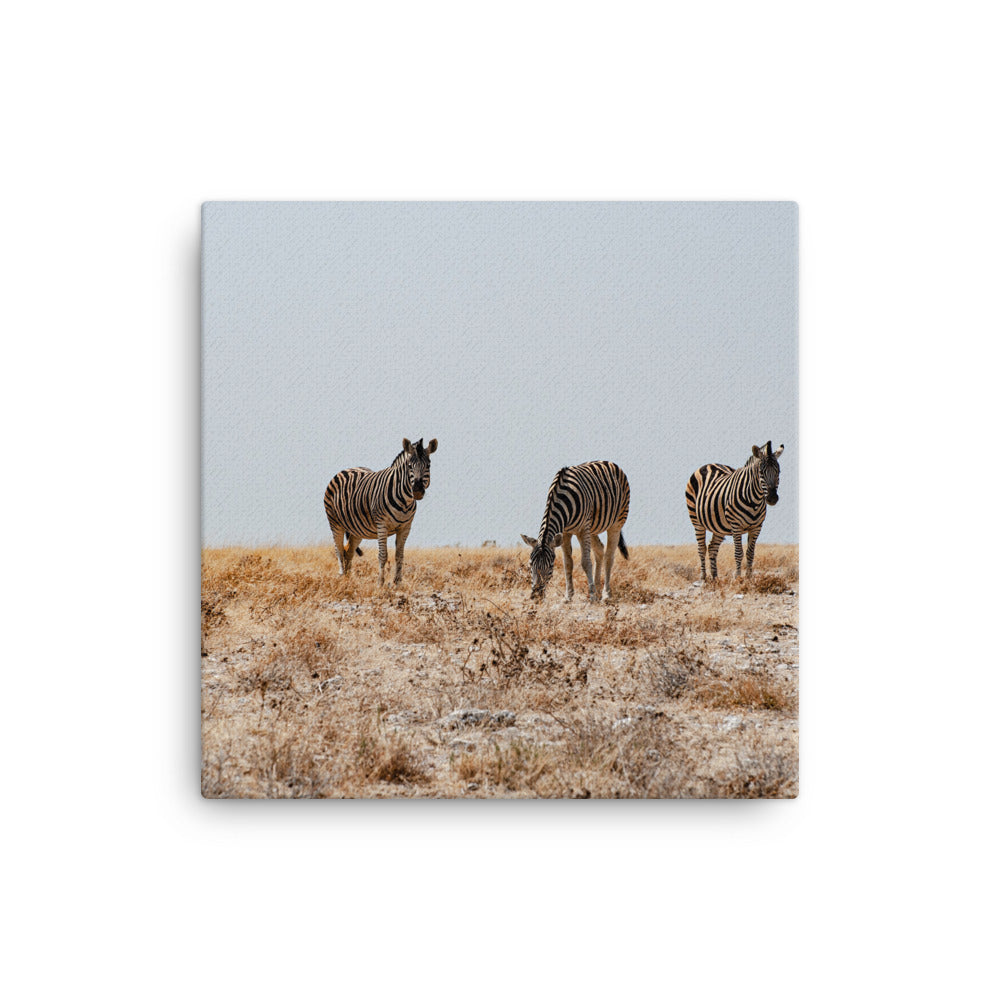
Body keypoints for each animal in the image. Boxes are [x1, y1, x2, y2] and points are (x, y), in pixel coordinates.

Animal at [324, 437, 438, 586]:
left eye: (428, 466)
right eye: (409, 466)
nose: (417, 491)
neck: (405, 501)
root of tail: (346, 469)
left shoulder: (405, 527)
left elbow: (399, 556)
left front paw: (397, 583)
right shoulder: (382, 525)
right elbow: (383, 555)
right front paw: (380, 583)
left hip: (357, 529)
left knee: (348, 552)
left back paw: (349, 580)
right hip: (335, 523)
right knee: (339, 551)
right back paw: (342, 578)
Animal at [521, 461, 630, 602]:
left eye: (550, 566)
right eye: (530, 564)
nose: (536, 597)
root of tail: (609, 462)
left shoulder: (582, 529)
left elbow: (586, 562)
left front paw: (592, 597)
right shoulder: (565, 533)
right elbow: (568, 563)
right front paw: (568, 596)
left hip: (616, 522)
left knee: (609, 557)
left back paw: (606, 595)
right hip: (592, 528)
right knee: (599, 550)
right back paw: (598, 590)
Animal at [685, 441, 785, 580]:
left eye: (778, 472)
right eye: (760, 472)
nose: (772, 498)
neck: (754, 501)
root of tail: (709, 464)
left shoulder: (757, 527)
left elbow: (750, 553)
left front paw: (749, 578)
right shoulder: (736, 525)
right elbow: (738, 553)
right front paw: (738, 578)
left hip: (719, 526)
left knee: (712, 548)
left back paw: (715, 578)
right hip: (696, 520)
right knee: (702, 548)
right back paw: (703, 577)